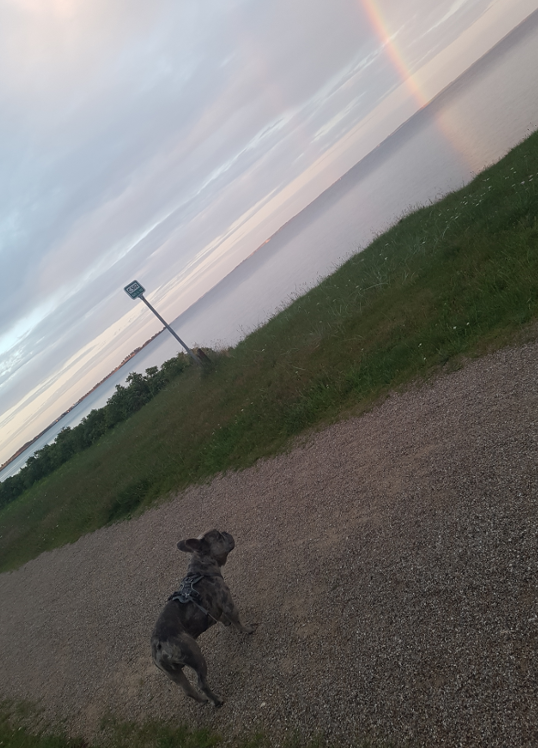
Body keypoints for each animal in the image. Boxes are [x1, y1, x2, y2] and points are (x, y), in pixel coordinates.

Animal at [151, 529, 255, 707]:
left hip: (174, 673)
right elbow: (236, 619)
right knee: (201, 683)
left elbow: (223, 618)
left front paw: (227, 623)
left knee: (187, 689)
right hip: (195, 655)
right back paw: (217, 700)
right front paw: (247, 630)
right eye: (219, 536)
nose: (225, 531)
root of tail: (159, 642)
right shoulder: (227, 602)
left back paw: (204, 700)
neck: (201, 571)